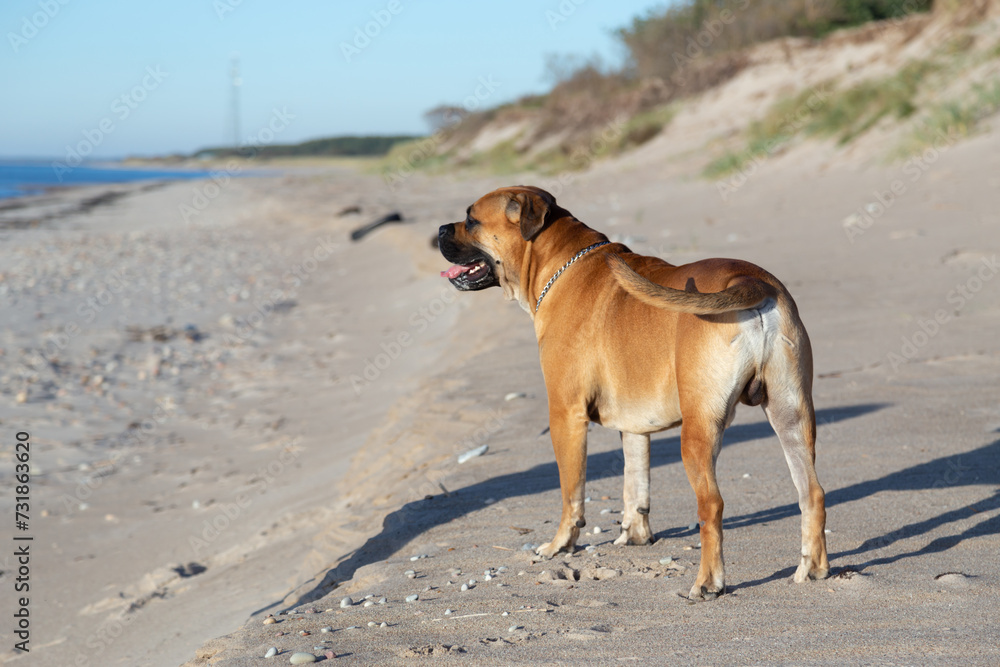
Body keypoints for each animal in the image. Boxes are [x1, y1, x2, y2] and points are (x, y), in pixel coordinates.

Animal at [438, 184, 828, 600]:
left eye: (471, 219)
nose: (441, 230)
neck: (559, 263)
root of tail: (749, 279)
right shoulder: (635, 426)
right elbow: (635, 483)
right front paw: (635, 535)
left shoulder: (565, 415)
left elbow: (571, 493)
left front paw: (560, 544)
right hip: (792, 416)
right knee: (812, 493)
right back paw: (813, 568)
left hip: (700, 429)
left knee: (712, 504)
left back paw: (708, 582)